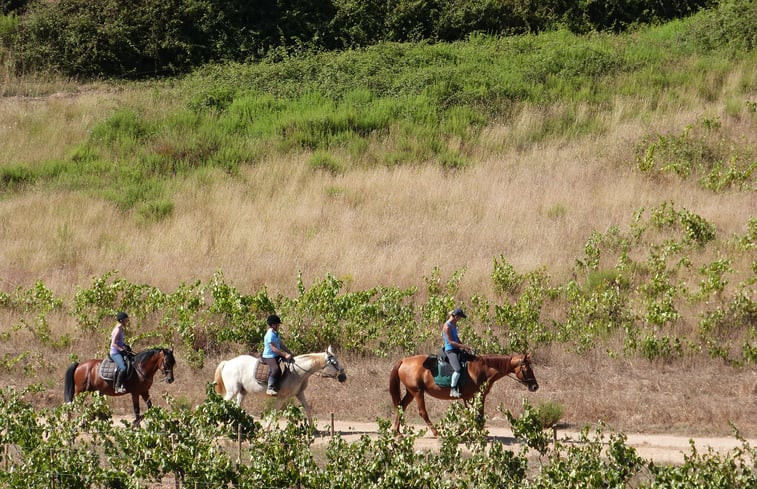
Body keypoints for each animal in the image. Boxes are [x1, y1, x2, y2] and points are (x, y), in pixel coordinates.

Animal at [211, 346, 344, 422]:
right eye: (334, 362)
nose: (344, 377)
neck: (297, 371)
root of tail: (227, 362)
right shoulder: (282, 397)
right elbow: (274, 413)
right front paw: (266, 429)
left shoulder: (299, 393)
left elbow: (307, 408)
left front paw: (312, 428)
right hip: (232, 392)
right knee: (222, 404)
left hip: (242, 392)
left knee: (236, 406)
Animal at [390, 350, 536, 434]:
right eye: (526, 368)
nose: (535, 386)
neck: (482, 369)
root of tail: (404, 360)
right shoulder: (469, 396)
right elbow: (472, 415)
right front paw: (463, 431)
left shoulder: (480, 396)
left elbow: (478, 415)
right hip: (417, 392)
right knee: (422, 412)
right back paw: (436, 432)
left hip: (411, 392)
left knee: (401, 406)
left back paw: (397, 432)